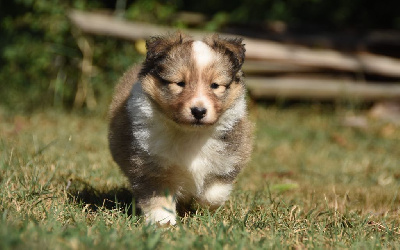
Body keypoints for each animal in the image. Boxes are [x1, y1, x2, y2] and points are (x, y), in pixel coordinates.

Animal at [108, 32, 253, 226]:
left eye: (215, 85)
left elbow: (214, 192)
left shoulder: (229, 159)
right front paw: (162, 222)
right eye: (179, 83)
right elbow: (158, 197)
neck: (191, 133)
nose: (198, 111)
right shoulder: (150, 165)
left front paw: (203, 207)